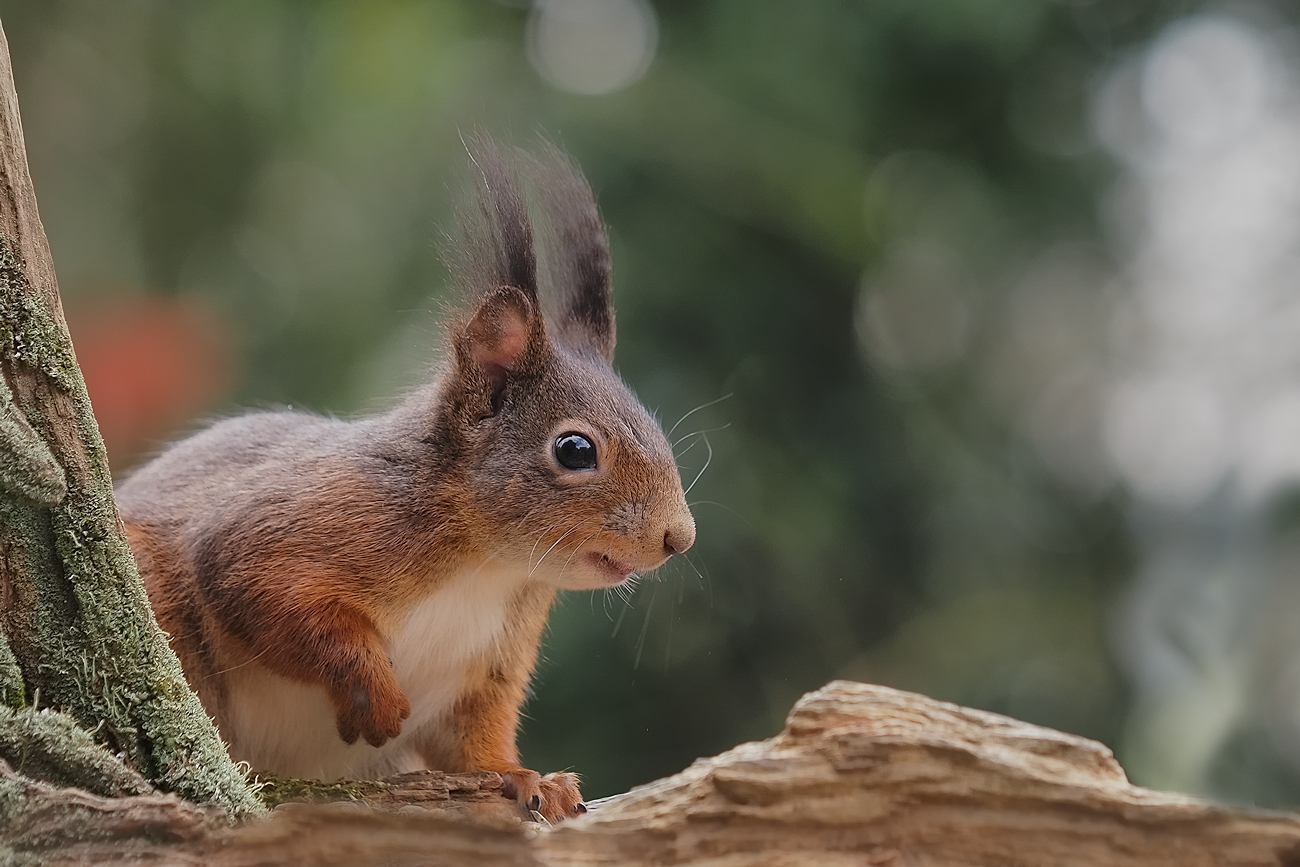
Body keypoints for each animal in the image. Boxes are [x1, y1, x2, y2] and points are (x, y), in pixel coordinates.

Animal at [116, 142, 696, 821]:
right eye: (575, 450)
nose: (679, 537)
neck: (488, 566)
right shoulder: (295, 525)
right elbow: (270, 593)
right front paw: (375, 693)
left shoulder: (486, 667)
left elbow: (473, 742)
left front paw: (531, 778)